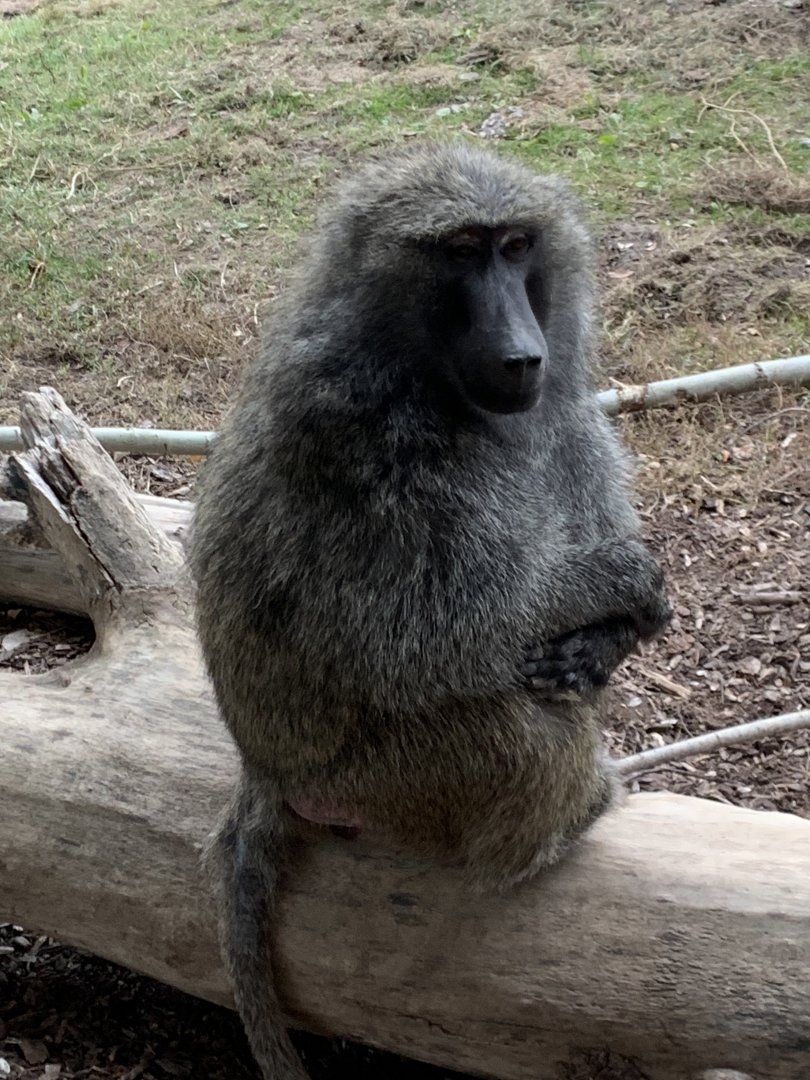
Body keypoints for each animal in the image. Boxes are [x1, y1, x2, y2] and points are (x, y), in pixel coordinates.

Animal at [187, 140, 672, 1080]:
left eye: (516, 247)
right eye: (460, 252)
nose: (523, 355)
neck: (417, 366)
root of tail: (263, 769)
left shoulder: (551, 406)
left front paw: (606, 636)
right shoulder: (360, 437)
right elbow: (424, 641)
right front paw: (625, 584)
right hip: (384, 779)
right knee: (520, 736)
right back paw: (577, 811)